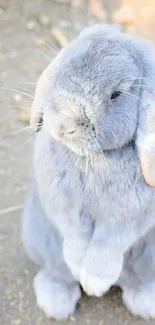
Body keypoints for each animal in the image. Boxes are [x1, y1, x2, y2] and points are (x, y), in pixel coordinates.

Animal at [21, 25, 155, 318]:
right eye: (60, 70)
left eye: (116, 95)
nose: (63, 126)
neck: (94, 158)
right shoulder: (64, 206)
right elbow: (75, 236)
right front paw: (78, 268)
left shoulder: (127, 219)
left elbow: (107, 245)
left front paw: (94, 284)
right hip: (38, 238)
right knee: (55, 271)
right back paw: (56, 304)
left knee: (137, 279)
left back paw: (145, 303)